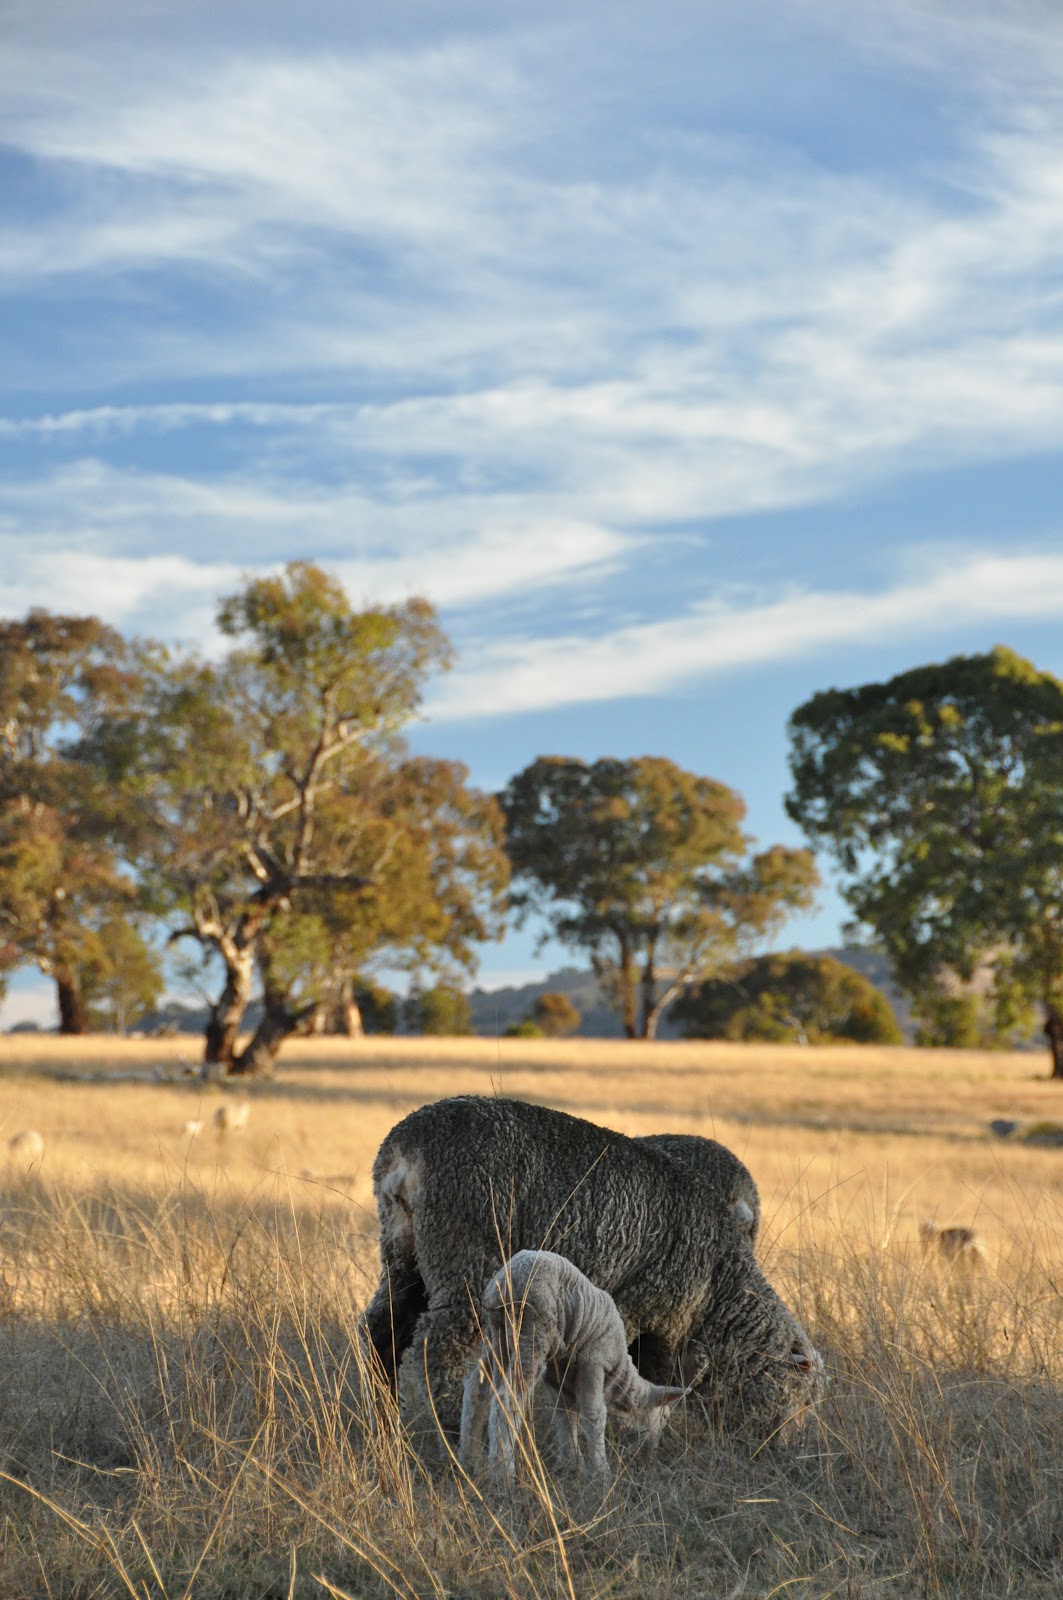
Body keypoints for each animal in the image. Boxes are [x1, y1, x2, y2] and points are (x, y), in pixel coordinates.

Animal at [363, 1095, 822, 1444]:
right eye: (802, 1398)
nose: (792, 1450)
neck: (717, 1288)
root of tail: (402, 1149)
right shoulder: (646, 1313)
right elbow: (647, 1385)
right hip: (462, 1259)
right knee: (435, 1351)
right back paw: (450, 1432)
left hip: (405, 1254)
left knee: (381, 1331)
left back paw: (384, 1423)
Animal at [460, 1249, 685, 1482]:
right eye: (665, 1417)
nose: (650, 1457)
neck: (619, 1372)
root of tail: (506, 1280)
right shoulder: (594, 1360)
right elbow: (594, 1413)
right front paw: (600, 1471)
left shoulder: (558, 1370)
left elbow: (565, 1413)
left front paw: (571, 1464)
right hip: (532, 1331)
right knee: (507, 1398)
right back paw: (502, 1473)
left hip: (497, 1334)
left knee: (477, 1388)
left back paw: (469, 1461)